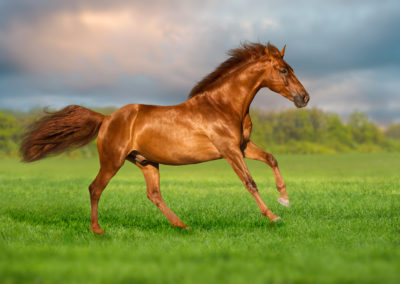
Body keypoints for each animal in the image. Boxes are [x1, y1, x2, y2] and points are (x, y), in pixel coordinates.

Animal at [20, 41, 310, 233]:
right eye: (284, 70)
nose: (304, 98)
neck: (223, 105)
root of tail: (106, 119)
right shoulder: (229, 150)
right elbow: (250, 182)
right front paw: (273, 216)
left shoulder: (243, 146)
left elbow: (271, 159)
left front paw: (284, 199)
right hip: (113, 161)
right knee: (95, 188)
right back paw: (98, 230)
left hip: (146, 162)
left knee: (154, 194)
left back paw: (182, 225)